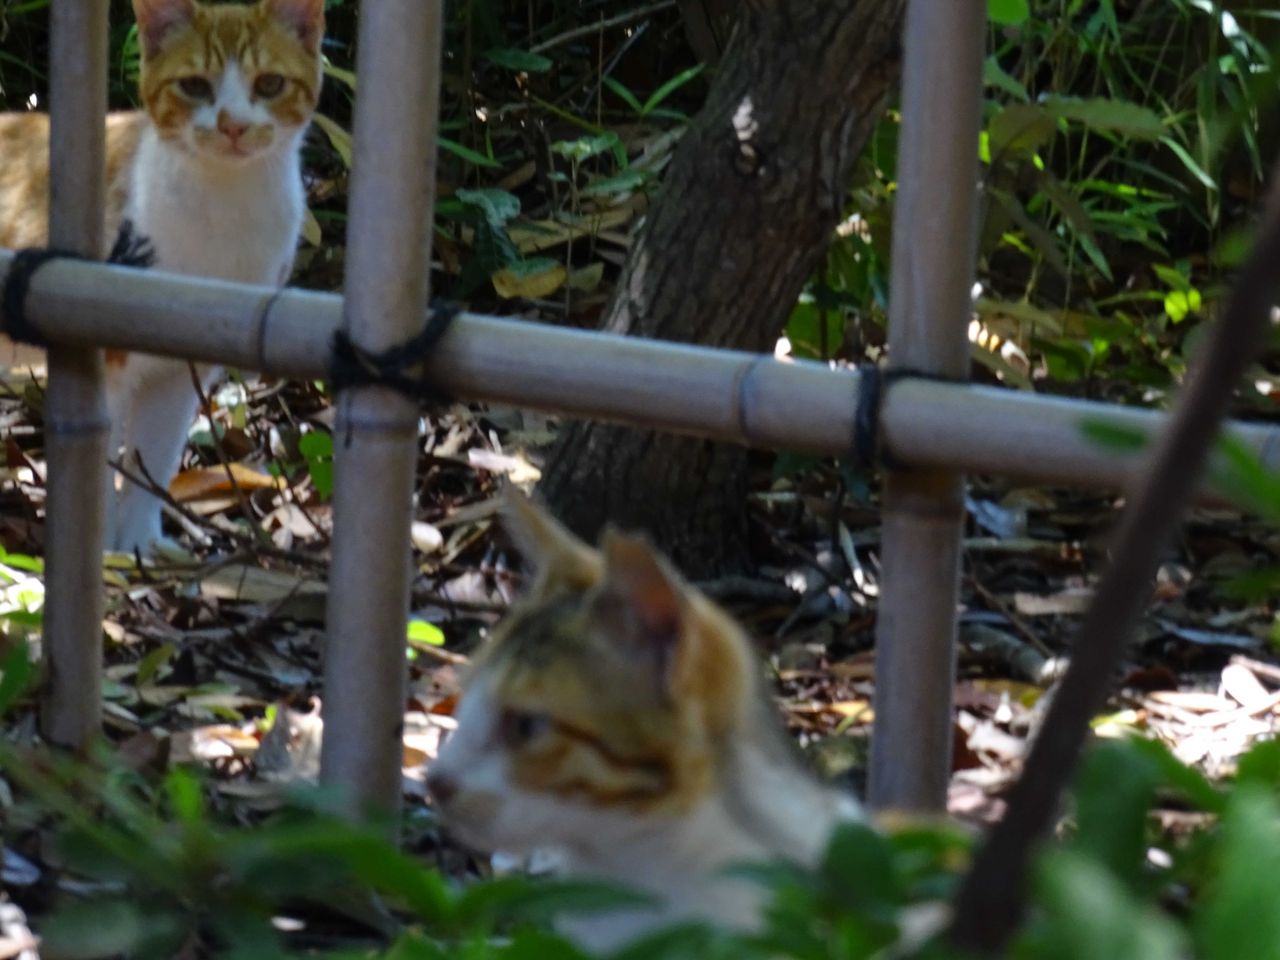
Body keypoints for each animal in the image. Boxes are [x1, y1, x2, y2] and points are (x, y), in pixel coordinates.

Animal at [0, 0, 324, 552]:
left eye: (270, 84)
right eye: (194, 85)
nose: (233, 125)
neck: (224, 209)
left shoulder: (183, 365)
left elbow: (157, 452)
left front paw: (138, 544)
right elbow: (100, 456)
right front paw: (103, 550)